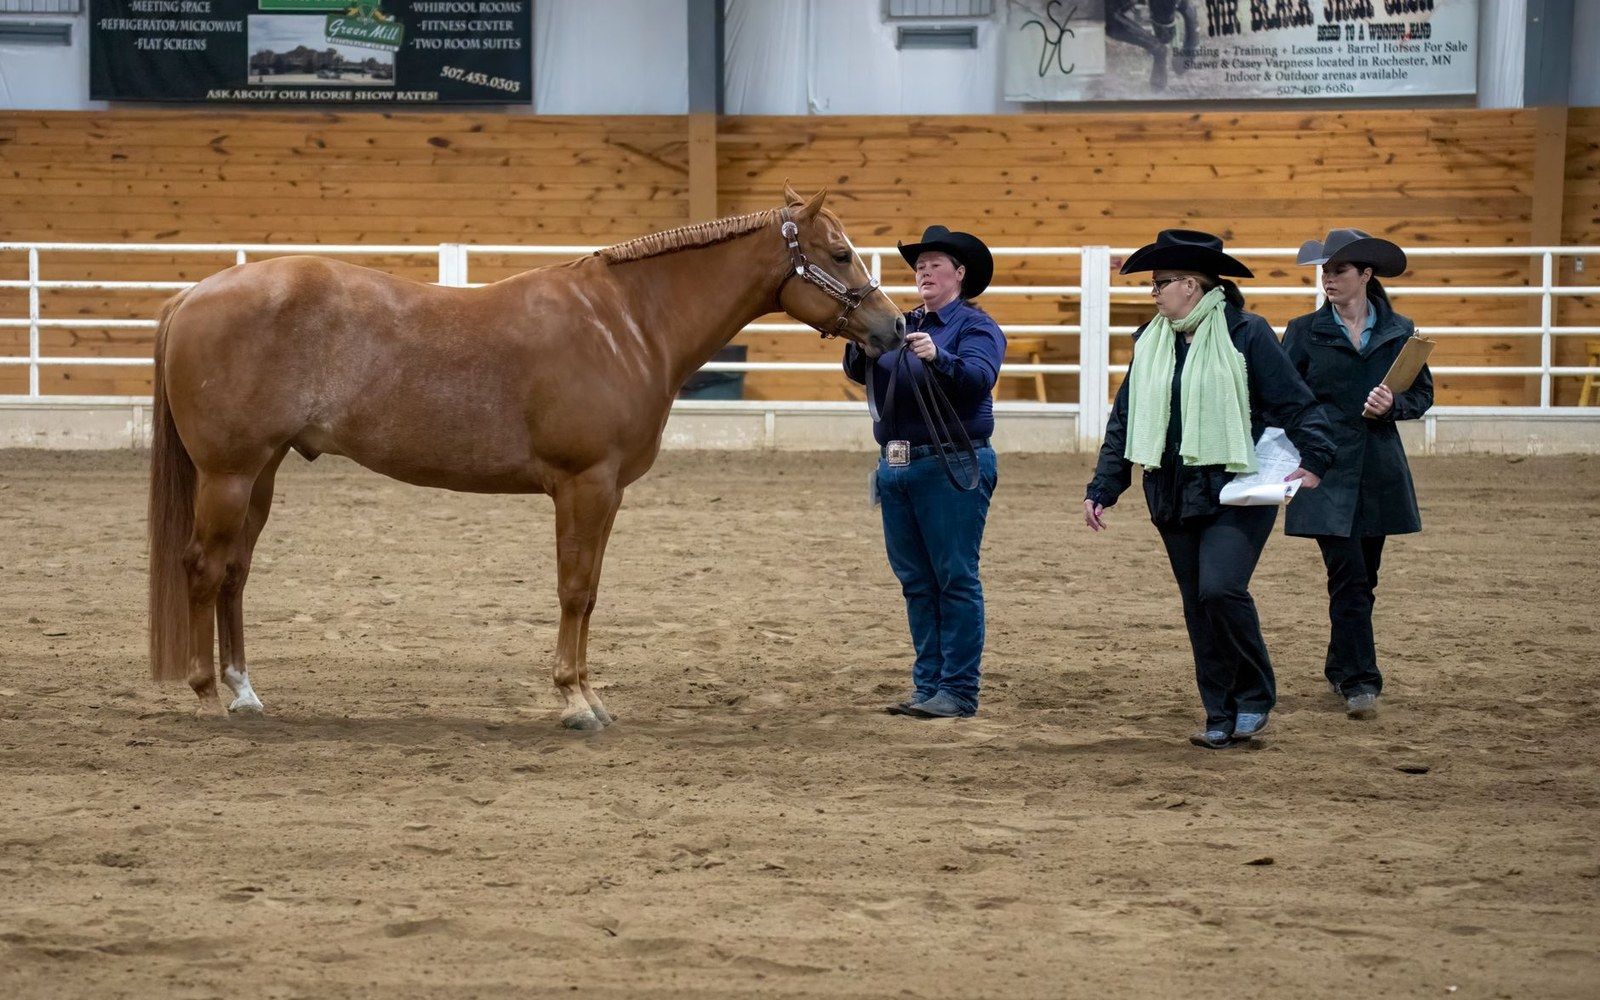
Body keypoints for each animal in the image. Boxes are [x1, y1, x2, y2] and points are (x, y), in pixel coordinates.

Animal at [147, 185, 905, 730]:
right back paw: (206, 697)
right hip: (228, 475)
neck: (626, 323)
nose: (895, 327)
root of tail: (192, 295)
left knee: (235, 574)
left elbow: (590, 591)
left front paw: (591, 697)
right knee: (204, 568)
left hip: (261, 472)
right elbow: (573, 589)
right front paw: (573, 702)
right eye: (840, 254)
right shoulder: (583, 485)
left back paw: (245, 693)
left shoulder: (608, 492)